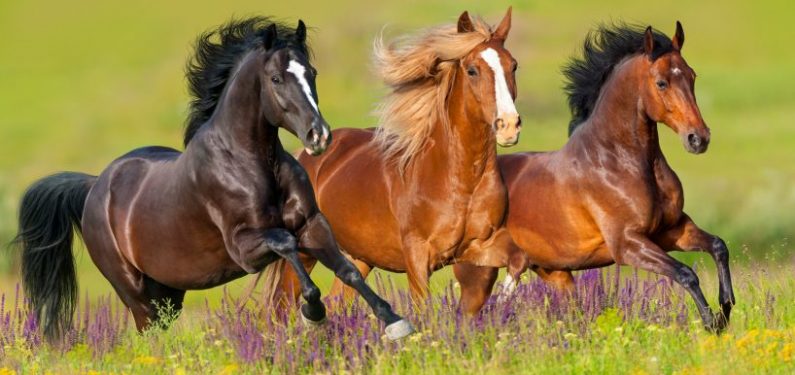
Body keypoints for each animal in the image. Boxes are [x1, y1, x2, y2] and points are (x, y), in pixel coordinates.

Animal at [15, 16, 414, 342]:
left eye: (312, 73)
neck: (252, 164)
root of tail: (95, 186)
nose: (319, 137)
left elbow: (348, 271)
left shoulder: (313, 224)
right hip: (135, 293)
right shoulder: (245, 248)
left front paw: (395, 323)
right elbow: (287, 244)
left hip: (168, 293)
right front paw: (313, 313)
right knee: (149, 335)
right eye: (276, 78)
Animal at [274, 8, 524, 306]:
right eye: (473, 70)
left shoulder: (480, 244)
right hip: (304, 252)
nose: (508, 125)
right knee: (282, 305)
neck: (460, 180)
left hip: (358, 258)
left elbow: (518, 260)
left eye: (513, 66)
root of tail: (304, 156)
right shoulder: (417, 256)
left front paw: (502, 302)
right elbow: (423, 307)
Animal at [458, 22, 736, 332]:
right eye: (662, 82)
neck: (617, 161)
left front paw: (726, 308)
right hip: (478, 272)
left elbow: (718, 246)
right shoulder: (627, 244)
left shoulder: (672, 230)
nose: (698, 138)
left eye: (691, 76)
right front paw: (712, 323)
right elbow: (686, 273)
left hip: (553, 273)